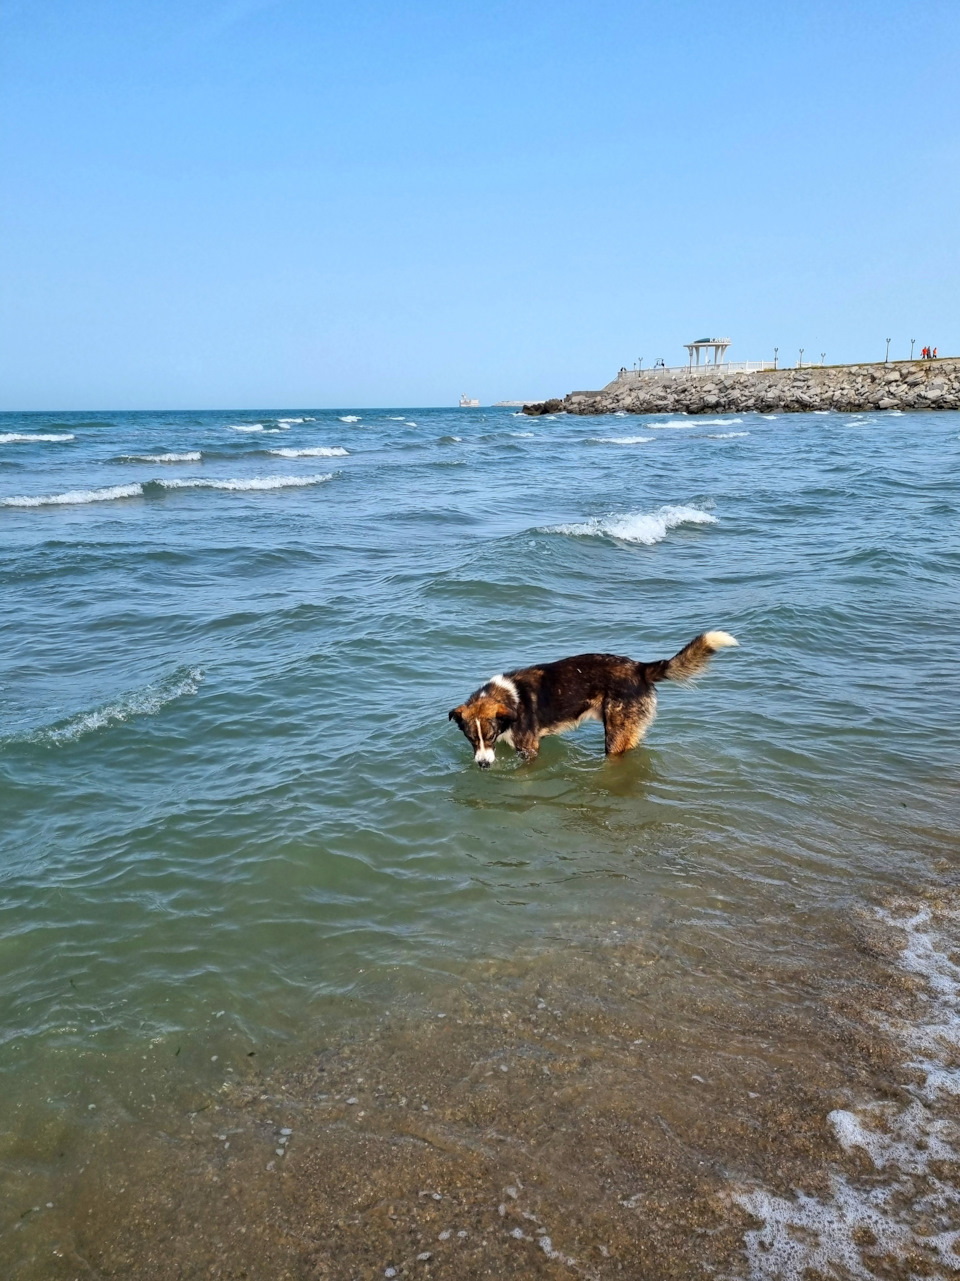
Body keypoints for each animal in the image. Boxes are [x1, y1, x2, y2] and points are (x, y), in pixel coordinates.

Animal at [446, 627, 738, 763]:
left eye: (490, 736)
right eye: (471, 739)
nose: (483, 765)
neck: (510, 698)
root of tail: (640, 668)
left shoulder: (529, 750)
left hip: (616, 732)